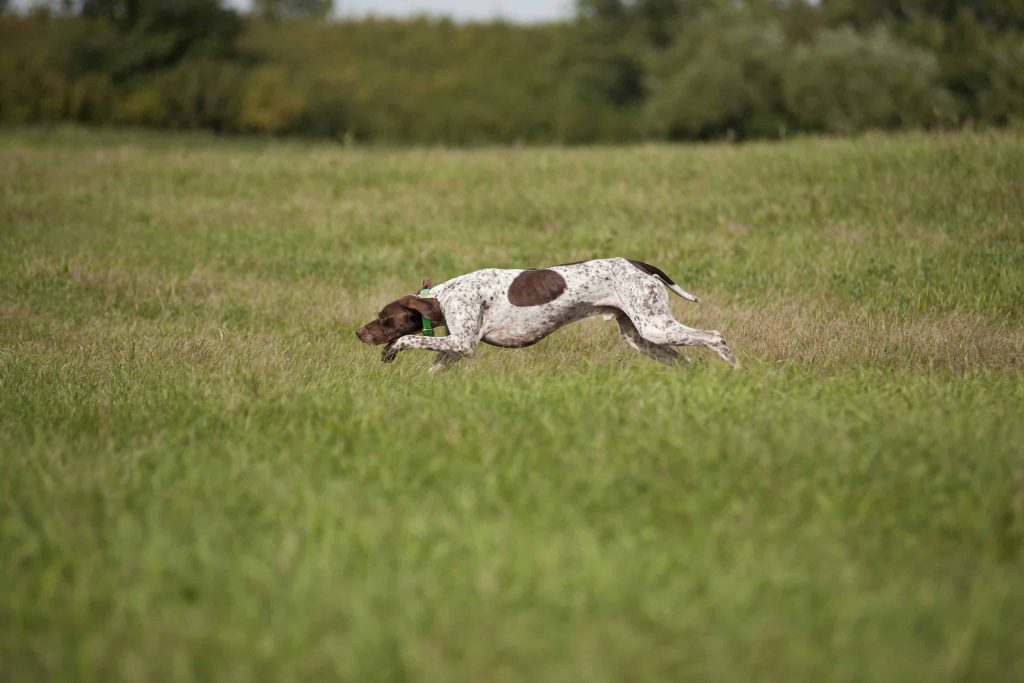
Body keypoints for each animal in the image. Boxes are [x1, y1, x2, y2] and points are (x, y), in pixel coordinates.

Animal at [356, 258, 733, 374]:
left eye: (384, 317)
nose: (359, 333)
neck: (443, 297)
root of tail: (640, 265)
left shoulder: (463, 344)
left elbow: (408, 339)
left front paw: (389, 351)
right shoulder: (455, 349)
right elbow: (433, 369)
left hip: (655, 326)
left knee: (716, 337)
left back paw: (735, 370)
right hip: (642, 336)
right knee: (686, 361)